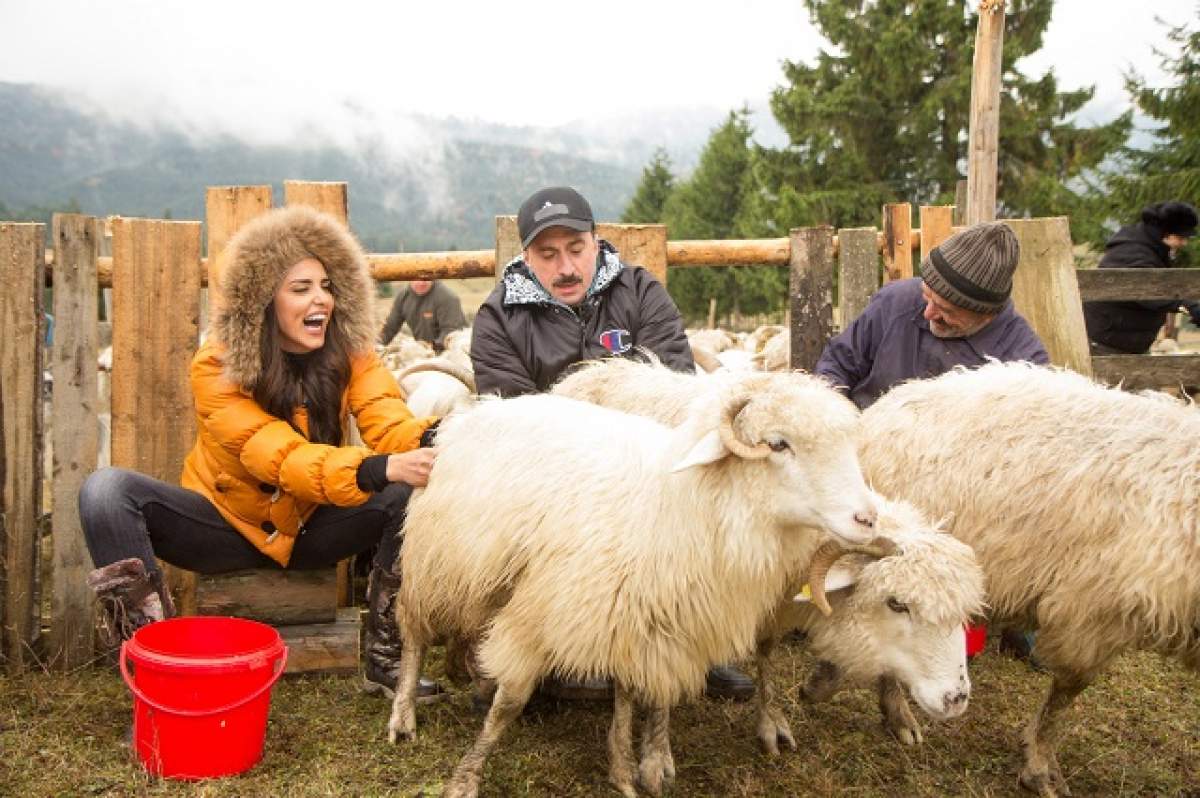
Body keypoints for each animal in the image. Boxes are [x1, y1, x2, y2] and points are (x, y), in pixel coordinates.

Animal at [388, 374, 878, 796]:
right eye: (779, 444)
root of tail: (472, 412)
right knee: (414, 635)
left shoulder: (646, 618)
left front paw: (631, 766)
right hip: (436, 566)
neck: (682, 502)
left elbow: (636, 694)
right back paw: (404, 712)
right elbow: (509, 705)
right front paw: (466, 778)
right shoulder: (540, 615)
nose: (868, 518)